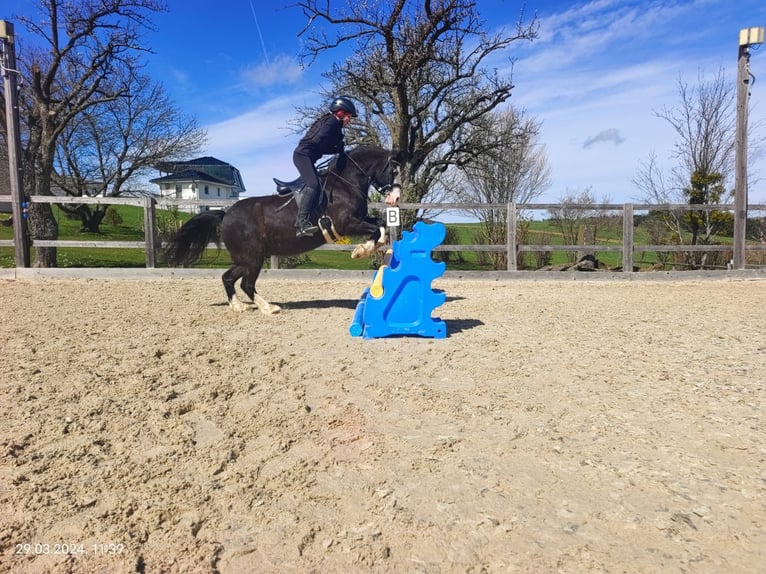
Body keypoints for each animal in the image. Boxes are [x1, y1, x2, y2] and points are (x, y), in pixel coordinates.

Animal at [162, 145, 402, 316]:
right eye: (393, 169)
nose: (396, 198)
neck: (346, 183)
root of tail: (226, 214)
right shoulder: (347, 223)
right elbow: (377, 229)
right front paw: (361, 250)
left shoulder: (359, 220)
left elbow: (380, 224)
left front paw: (365, 248)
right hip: (253, 257)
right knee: (247, 283)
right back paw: (268, 308)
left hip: (247, 258)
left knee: (228, 278)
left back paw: (239, 306)